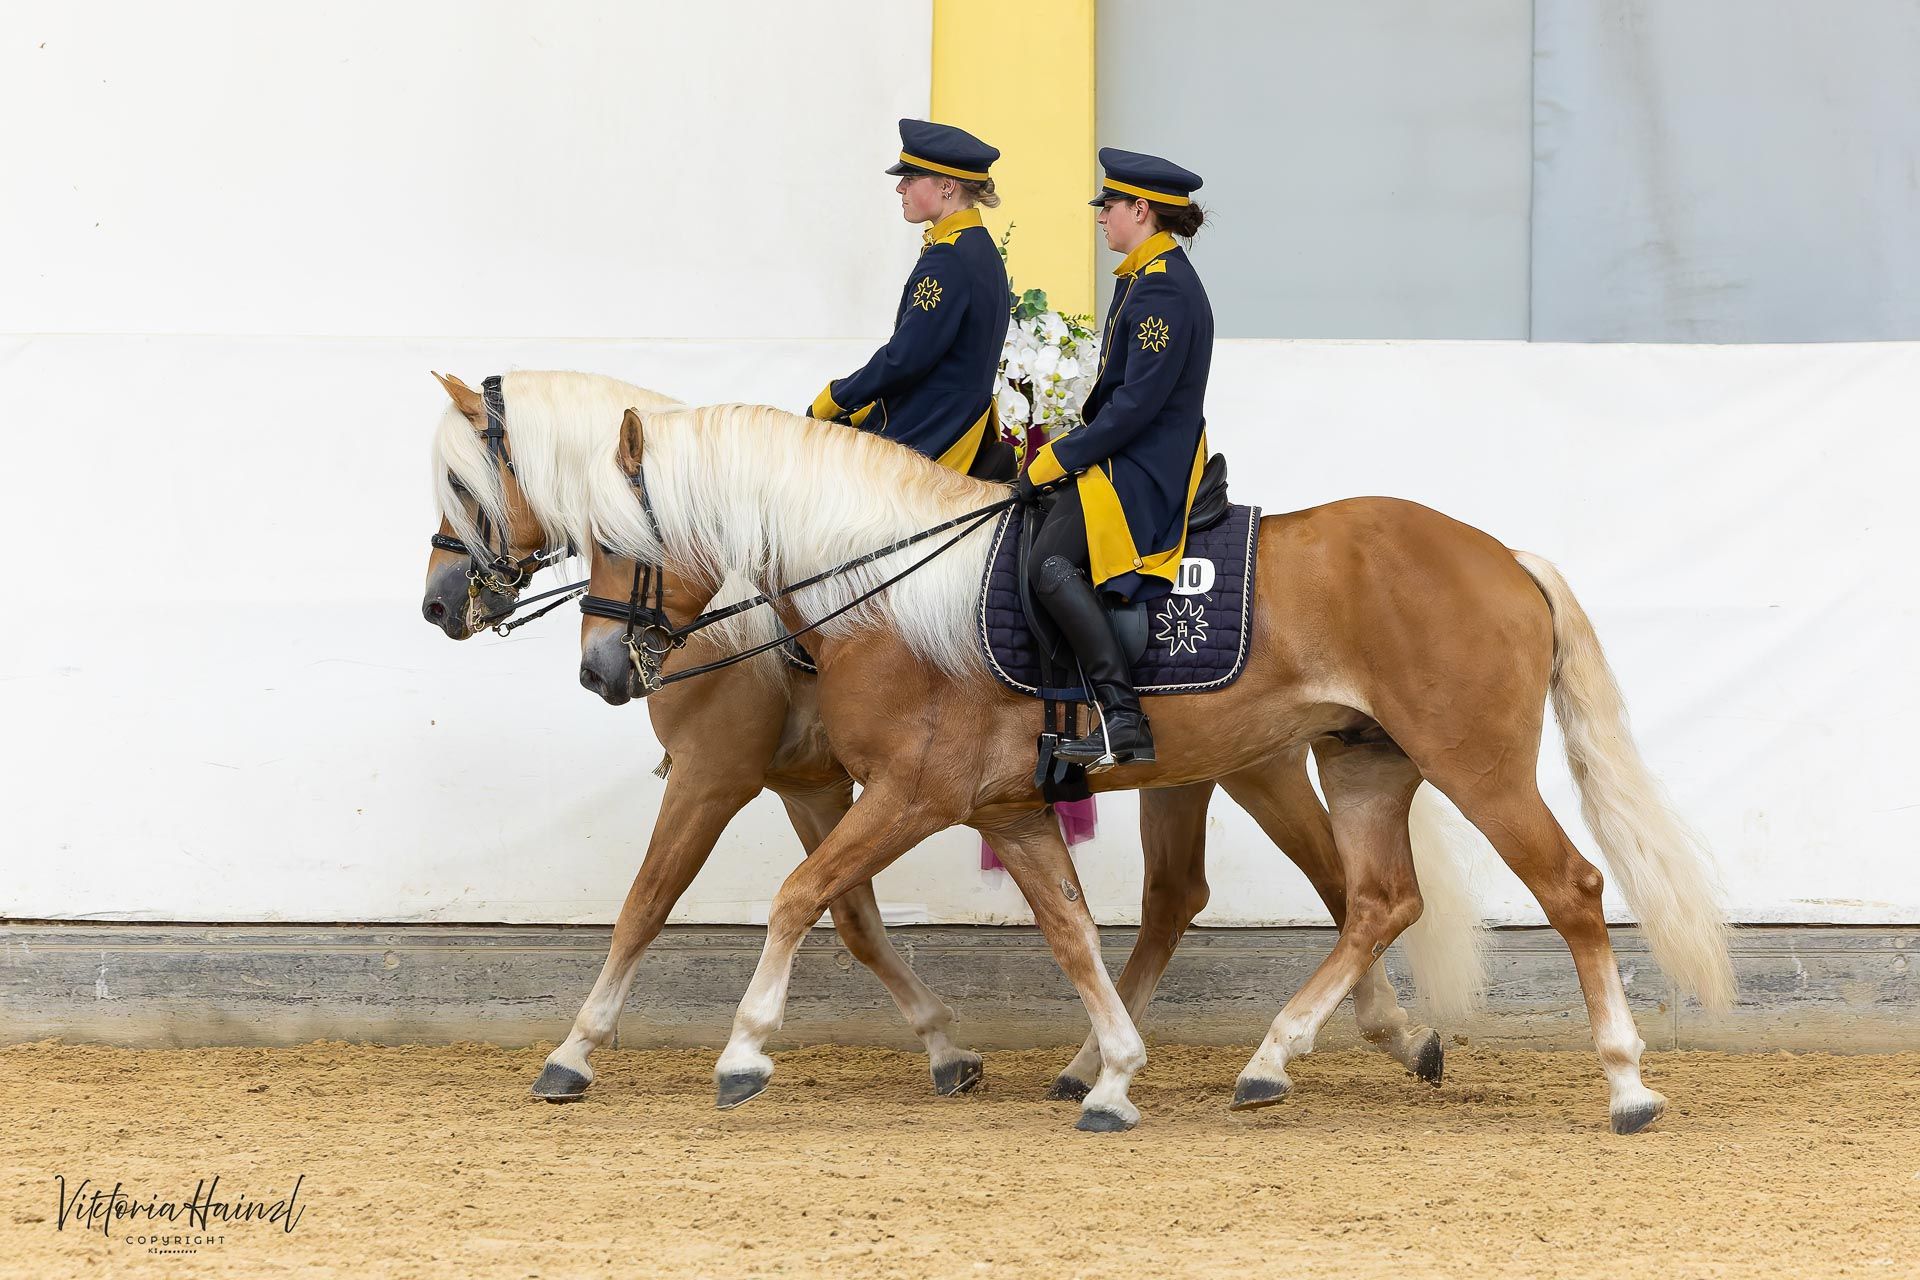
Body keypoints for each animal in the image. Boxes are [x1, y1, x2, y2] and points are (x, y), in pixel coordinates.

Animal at [424, 370, 1486, 1104]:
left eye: (463, 490)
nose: (440, 606)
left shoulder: (718, 775)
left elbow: (660, 904)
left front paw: (581, 1051)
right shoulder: (814, 784)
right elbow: (849, 915)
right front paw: (944, 1046)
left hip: (1258, 765)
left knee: (1339, 887)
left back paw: (1354, 1043)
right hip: (1207, 768)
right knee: (1201, 896)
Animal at [573, 401, 1734, 1134]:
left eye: (615, 538)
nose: (598, 669)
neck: (895, 597)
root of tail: (1503, 557)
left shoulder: (914, 794)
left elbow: (795, 897)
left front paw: (740, 1054)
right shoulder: (1007, 808)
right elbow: (1074, 935)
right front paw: (1113, 1072)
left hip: (1476, 766)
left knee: (1570, 888)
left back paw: (1627, 1087)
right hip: (1364, 765)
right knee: (1376, 900)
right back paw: (1271, 1061)